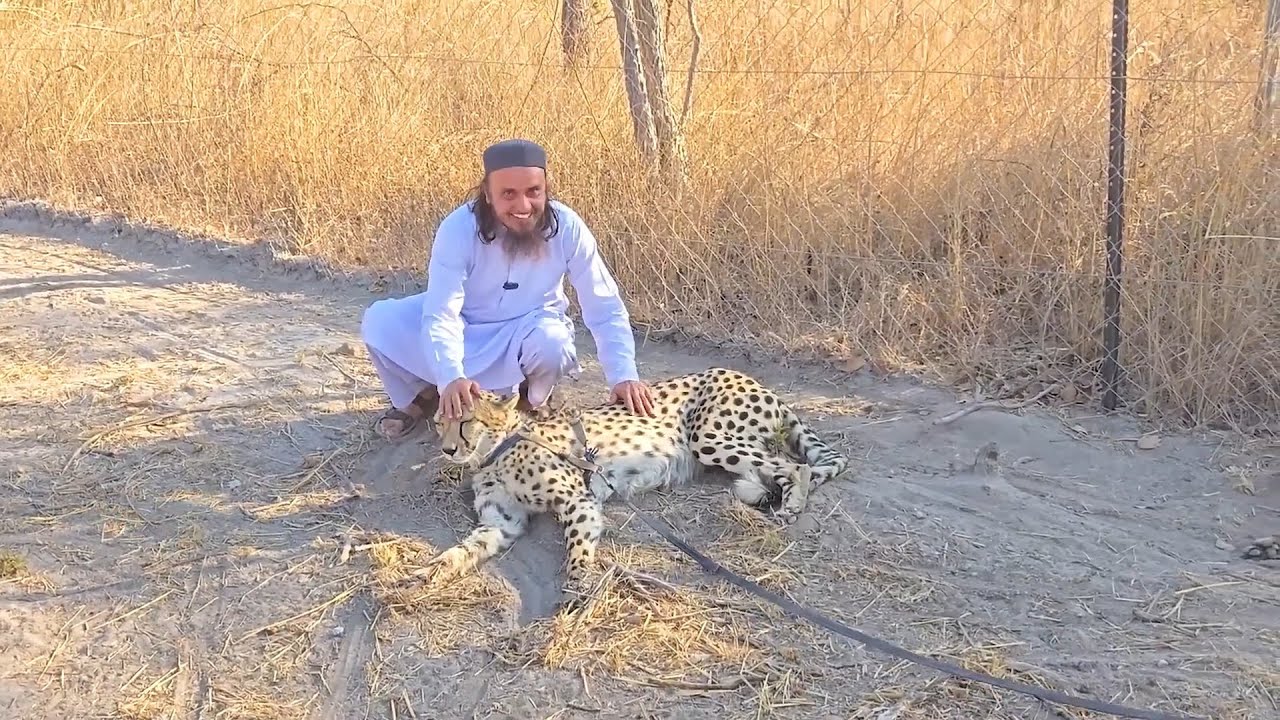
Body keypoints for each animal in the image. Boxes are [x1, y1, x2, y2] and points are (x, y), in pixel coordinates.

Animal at [409, 367, 851, 604]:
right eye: (440, 422)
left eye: (466, 421)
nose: (448, 449)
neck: (497, 450)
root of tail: (743, 375)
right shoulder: (504, 523)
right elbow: (464, 549)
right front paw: (429, 572)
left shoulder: (579, 500)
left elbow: (577, 551)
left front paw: (576, 590)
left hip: (708, 437)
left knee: (796, 467)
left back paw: (791, 507)